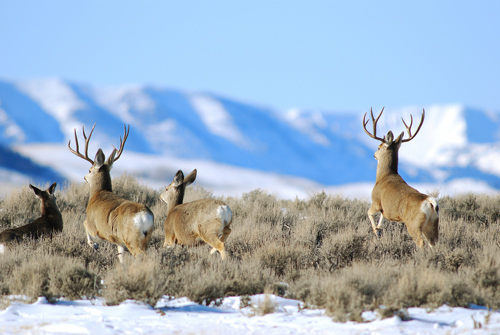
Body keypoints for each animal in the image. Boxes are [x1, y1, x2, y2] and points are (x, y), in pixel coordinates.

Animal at [68, 124, 154, 264]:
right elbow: (121, 258)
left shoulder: (94, 225)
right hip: (145, 239)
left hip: (132, 239)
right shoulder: (119, 242)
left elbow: (84, 223)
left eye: (89, 170)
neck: (98, 193)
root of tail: (144, 215)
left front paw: (94, 245)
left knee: (142, 257)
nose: (84, 177)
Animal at [364, 109, 438, 248]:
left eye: (378, 147)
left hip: (414, 224)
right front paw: (379, 230)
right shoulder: (385, 209)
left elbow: (369, 213)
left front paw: (376, 231)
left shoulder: (376, 201)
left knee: (421, 243)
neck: (384, 176)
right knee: (434, 243)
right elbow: (382, 218)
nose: (374, 155)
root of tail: (430, 202)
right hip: (432, 224)